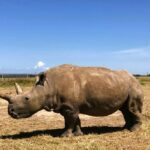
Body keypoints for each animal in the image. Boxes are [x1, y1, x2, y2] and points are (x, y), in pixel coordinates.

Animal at [0, 64, 143, 137]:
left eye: (27, 98)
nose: (10, 111)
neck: (47, 87)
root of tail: (134, 78)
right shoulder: (68, 106)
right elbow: (73, 120)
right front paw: (78, 134)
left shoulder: (69, 106)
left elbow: (69, 121)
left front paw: (64, 136)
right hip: (123, 85)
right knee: (125, 110)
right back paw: (125, 129)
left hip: (133, 87)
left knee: (131, 108)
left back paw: (133, 130)